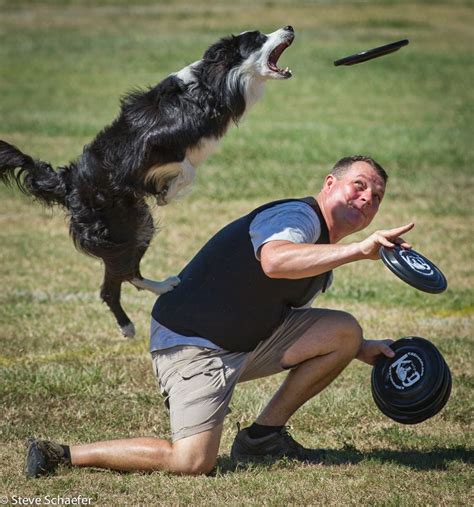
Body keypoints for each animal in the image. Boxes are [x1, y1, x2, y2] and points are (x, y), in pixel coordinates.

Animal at [0, 26, 294, 338]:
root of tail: (67, 182)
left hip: (139, 225)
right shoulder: (148, 147)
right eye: (258, 39)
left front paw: (167, 190)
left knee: (128, 274)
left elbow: (187, 169)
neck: (212, 87)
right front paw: (167, 193)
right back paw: (127, 325)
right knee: (113, 282)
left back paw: (162, 287)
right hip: (122, 228)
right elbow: (187, 169)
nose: (289, 27)